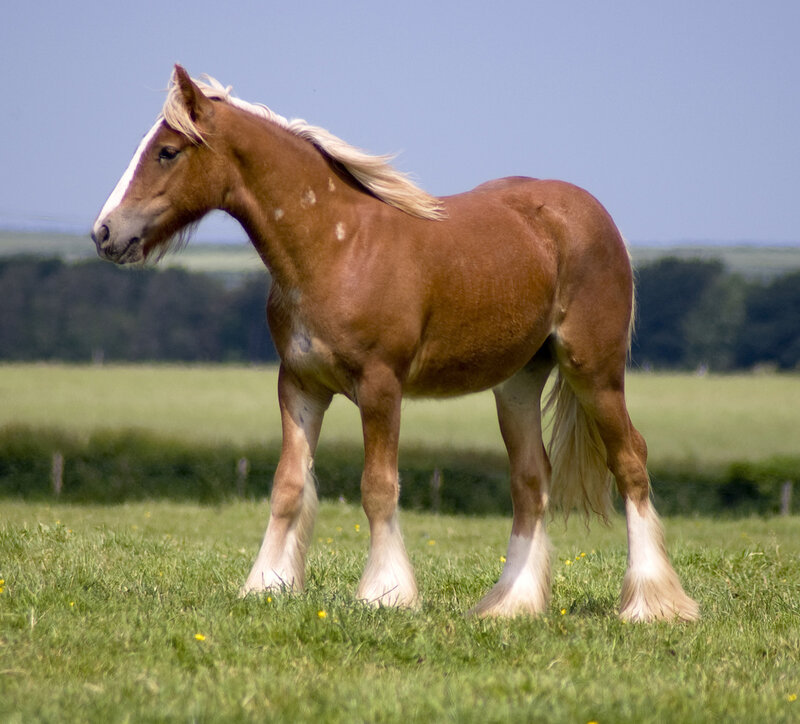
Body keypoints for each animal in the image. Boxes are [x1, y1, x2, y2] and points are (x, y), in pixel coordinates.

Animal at [91, 65, 698, 621]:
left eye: (167, 152)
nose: (104, 232)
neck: (336, 247)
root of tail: (592, 215)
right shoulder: (299, 386)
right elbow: (287, 486)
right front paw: (265, 584)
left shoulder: (381, 386)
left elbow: (378, 486)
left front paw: (385, 593)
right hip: (518, 384)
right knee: (532, 481)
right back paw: (511, 605)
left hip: (594, 372)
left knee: (631, 461)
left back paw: (651, 605)